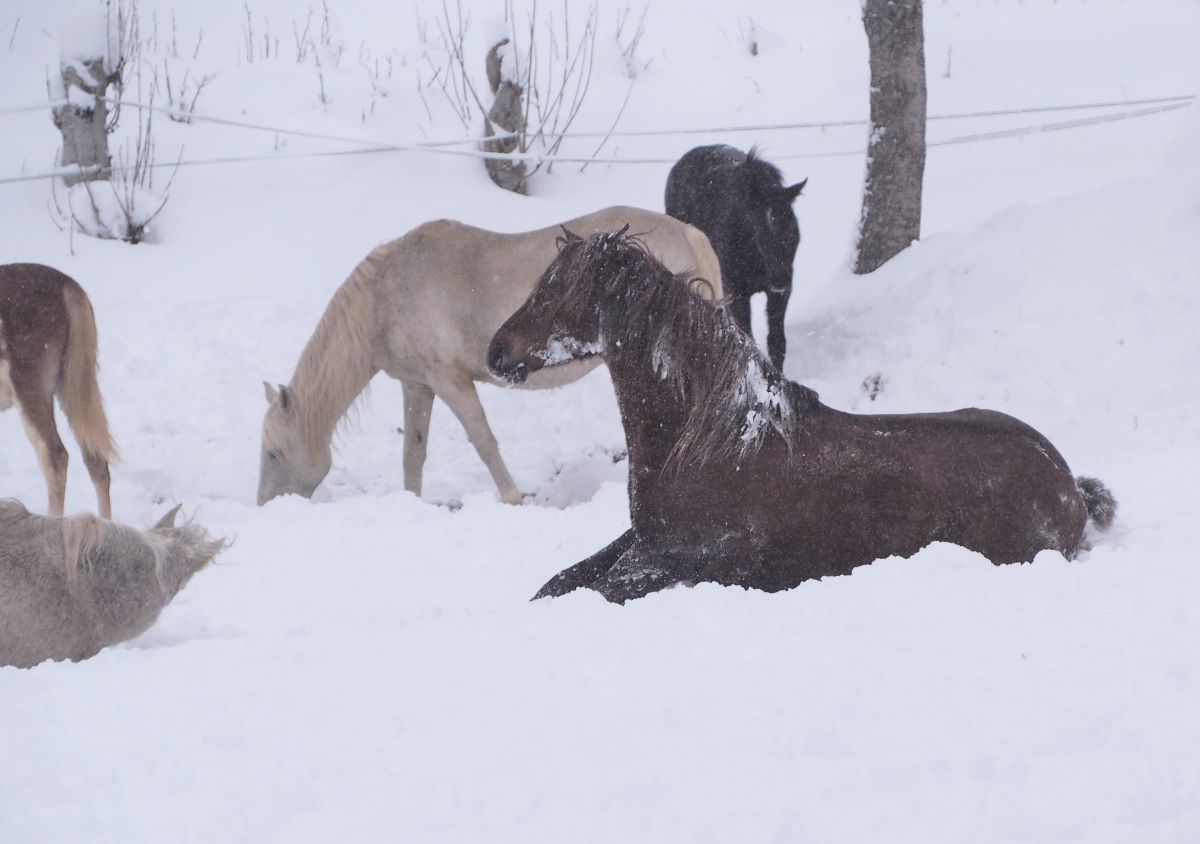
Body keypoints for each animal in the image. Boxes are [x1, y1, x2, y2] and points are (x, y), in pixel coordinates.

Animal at [258, 206, 723, 507]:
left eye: (273, 453)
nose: (265, 506)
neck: (384, 297)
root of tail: (687, 231)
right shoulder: (417, 385)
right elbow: (413, 454)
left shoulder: (451, 382)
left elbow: (483, 441)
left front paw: (513, 497)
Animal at [487, 228, 1117, 603]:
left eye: (556, 291)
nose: (496, 352)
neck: (708, 445)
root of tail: (1069, 486)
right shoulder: (639, 542)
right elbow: (559, 582)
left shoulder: (674, 562)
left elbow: (590, 590)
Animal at [665, 145, 805, 370]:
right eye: (760, 235)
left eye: (795, 233)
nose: (781, 281)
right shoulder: (737, 293)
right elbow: (749, 341)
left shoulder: (778, 296)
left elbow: (776, 342)